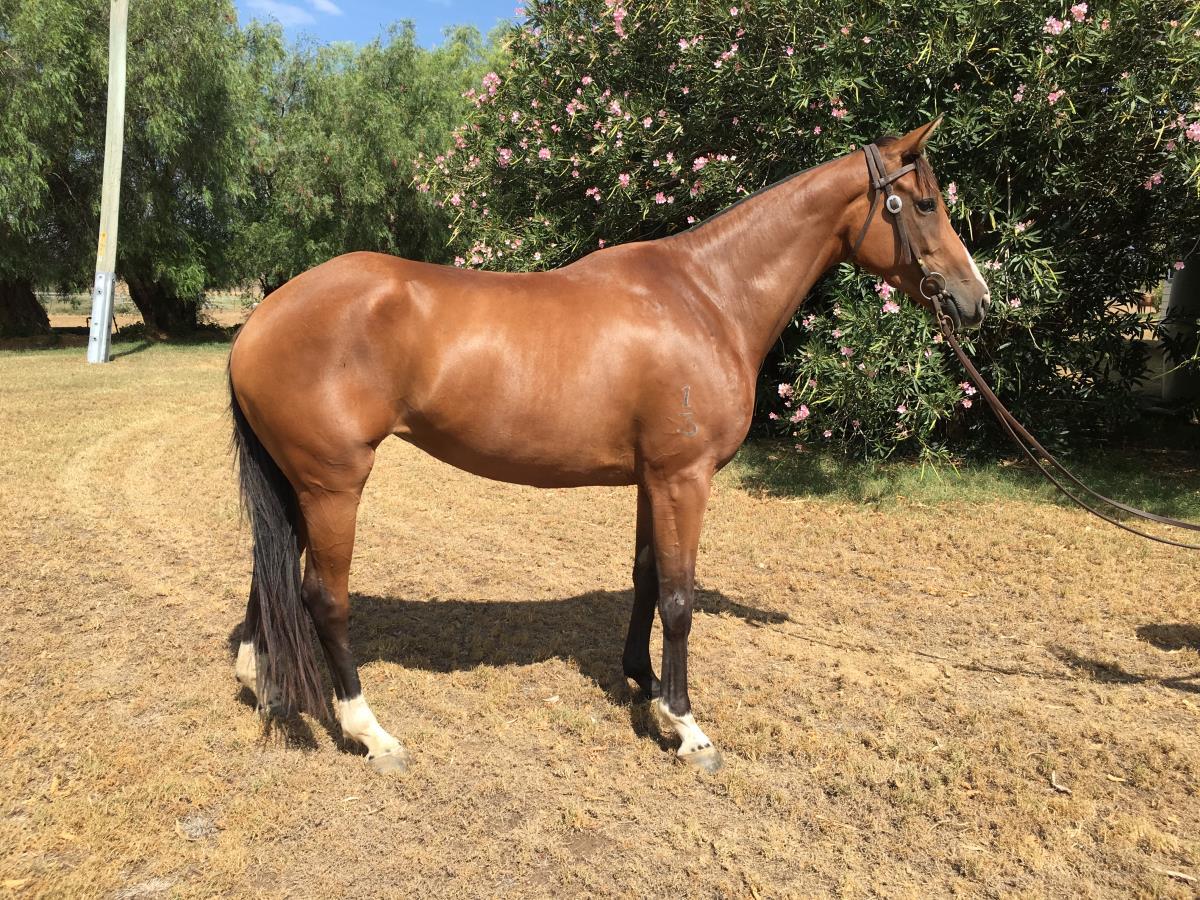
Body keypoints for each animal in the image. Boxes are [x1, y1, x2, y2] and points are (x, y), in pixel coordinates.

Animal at [228, 117, 990, 774]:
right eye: (924, 204)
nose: (975, 300)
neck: (706, 297)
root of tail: (258, 321)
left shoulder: (654, 479)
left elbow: (648, 577)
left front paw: (642, 682)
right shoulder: (685, 478)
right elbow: (679, 598)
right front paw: (686, 726)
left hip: (296, 484)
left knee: (270, 580)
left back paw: (262, 680)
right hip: (333, 484)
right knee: (323, 597)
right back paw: (370, 731)